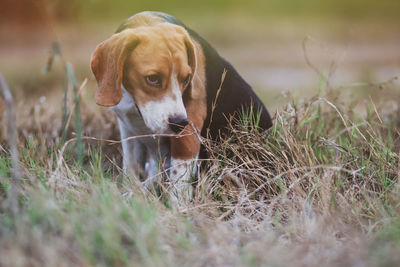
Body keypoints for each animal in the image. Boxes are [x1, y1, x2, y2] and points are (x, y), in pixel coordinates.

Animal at [90, 11, 272, 203]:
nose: (179, 123)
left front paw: (179, 208)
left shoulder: (187, 136)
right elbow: (131, 171)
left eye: (186, 79)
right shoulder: (128, 132)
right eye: (152, 79)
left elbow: (179, 185)